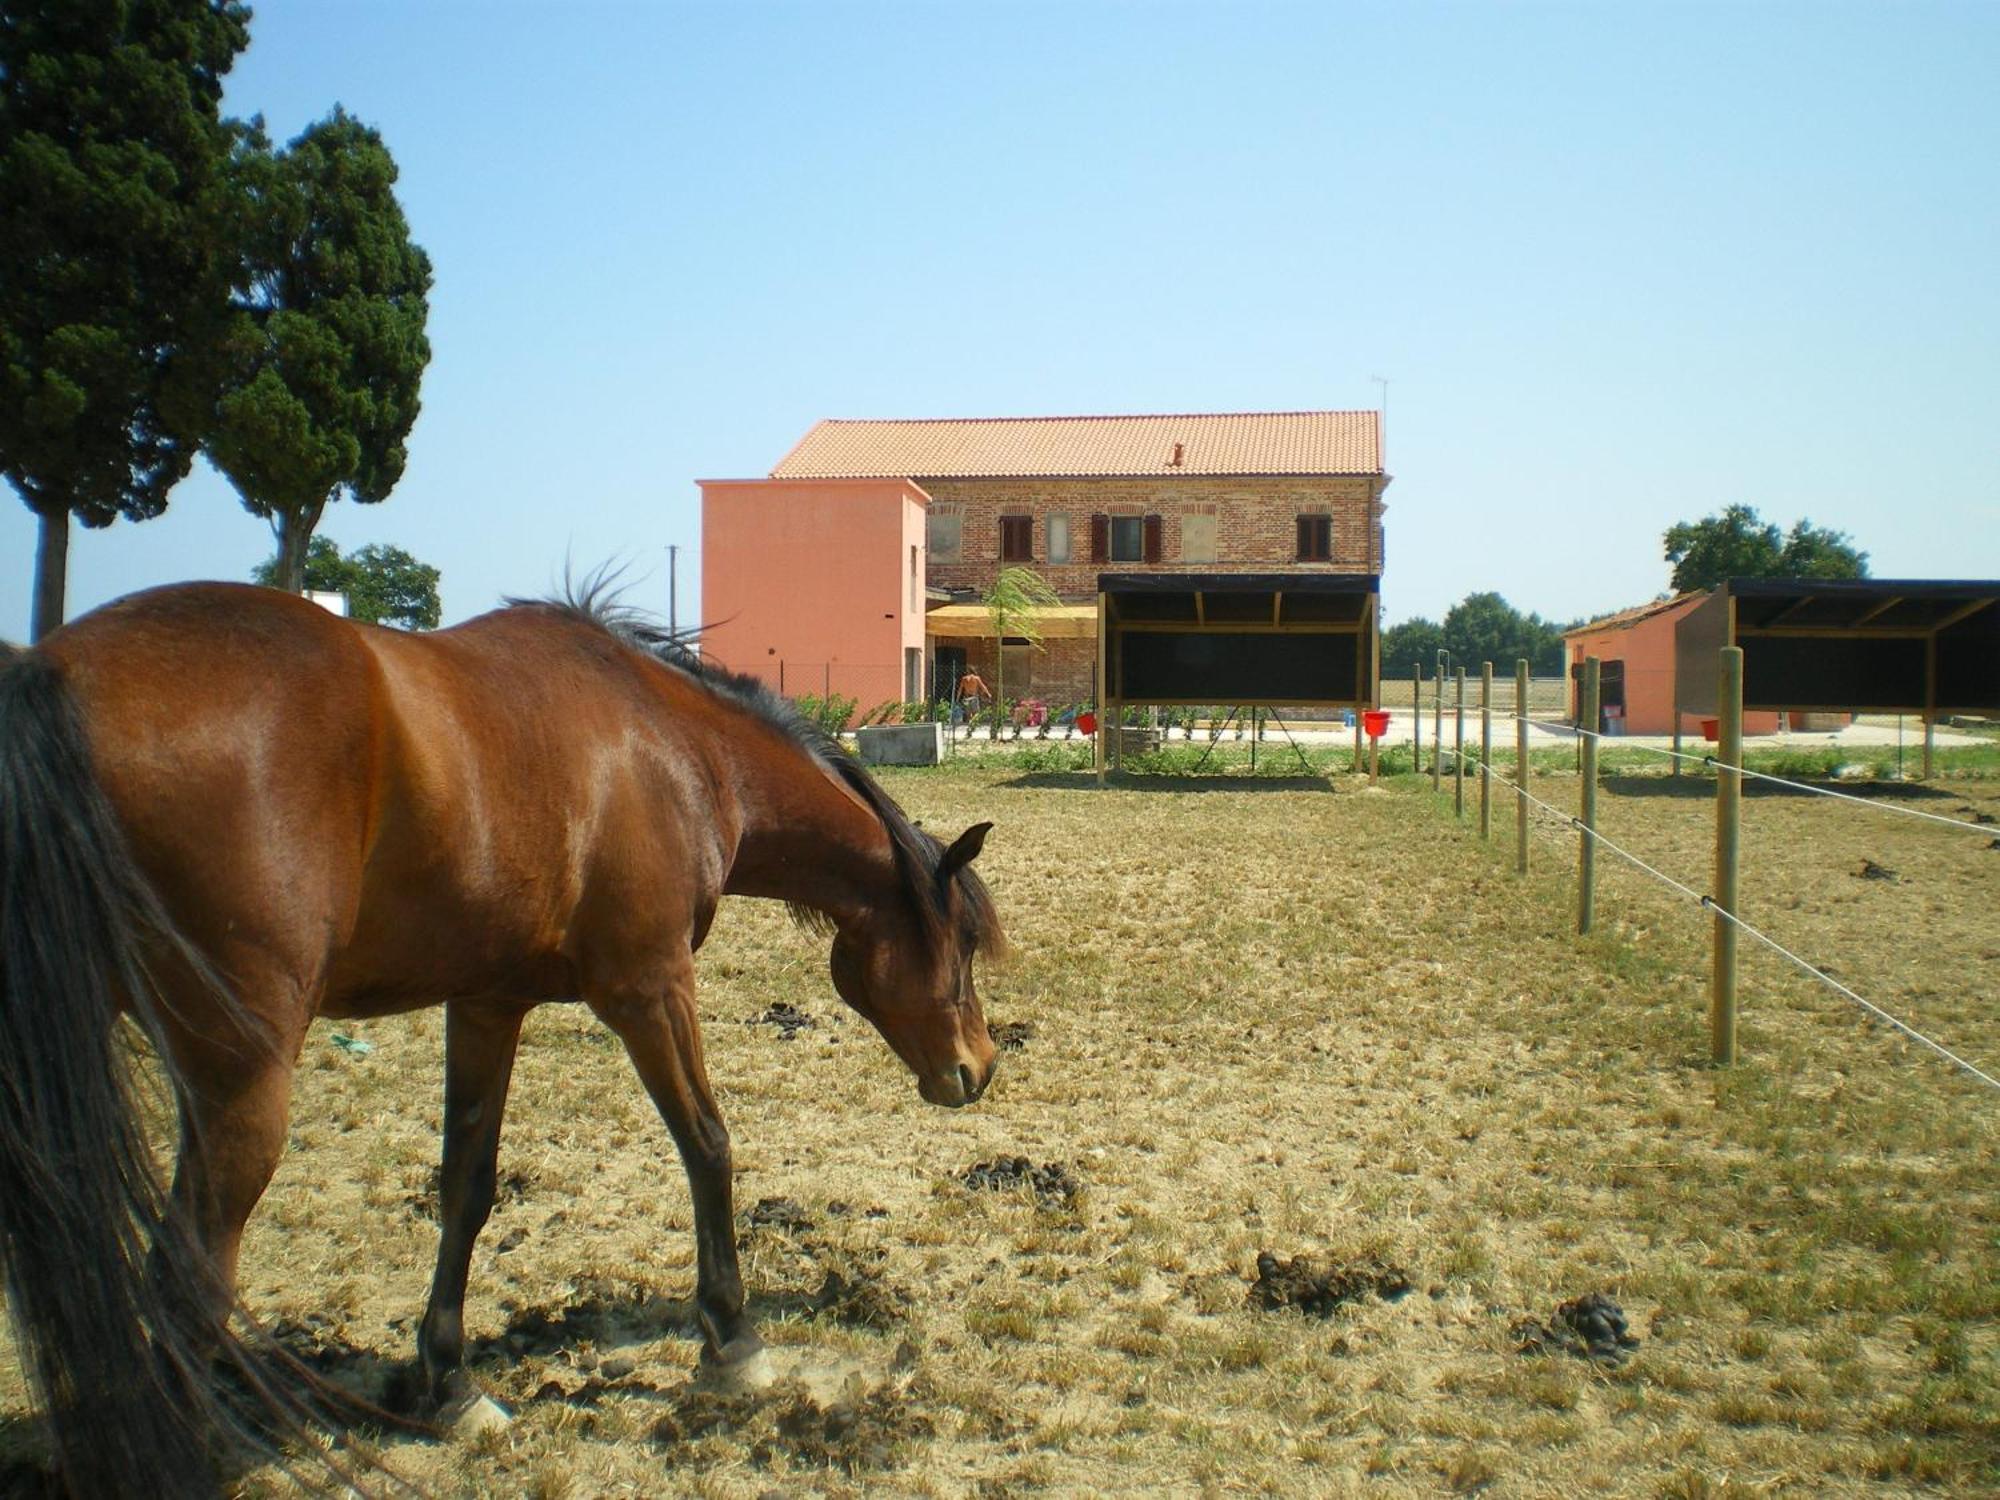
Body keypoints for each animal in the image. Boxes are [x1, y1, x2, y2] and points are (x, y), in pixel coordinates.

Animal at [0, 580, 1000, 1496]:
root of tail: (53, 676)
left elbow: (467, 1189)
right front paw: (734, 1339)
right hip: (239, 1084)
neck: (676, 748)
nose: (979, 1069)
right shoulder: (647, 988)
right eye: (961, 942)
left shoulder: (485, 1005)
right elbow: (708, 1146)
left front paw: (449, 1383)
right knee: (188, 1281)